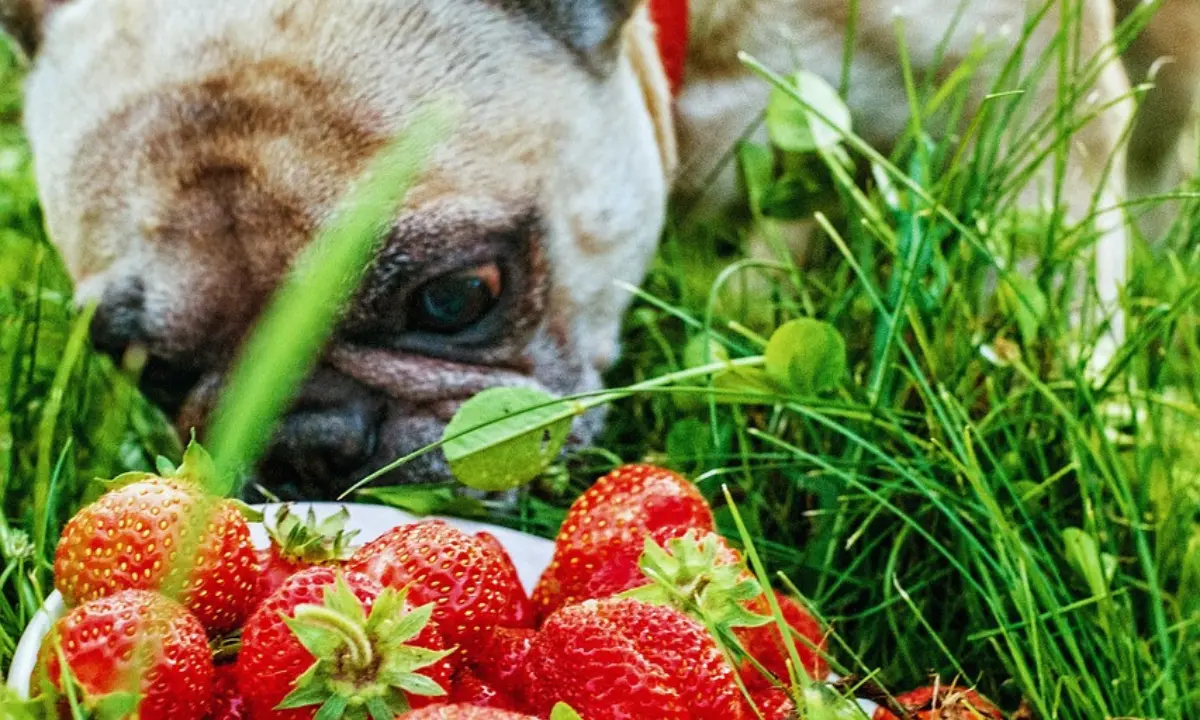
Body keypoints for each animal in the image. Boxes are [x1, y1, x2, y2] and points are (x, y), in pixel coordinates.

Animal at [2, 0, 1190, 496]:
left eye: (454, 298)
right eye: (149, 370)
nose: (307, 445)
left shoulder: (1029, 95)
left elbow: (1051, 277)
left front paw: (1084, 429)